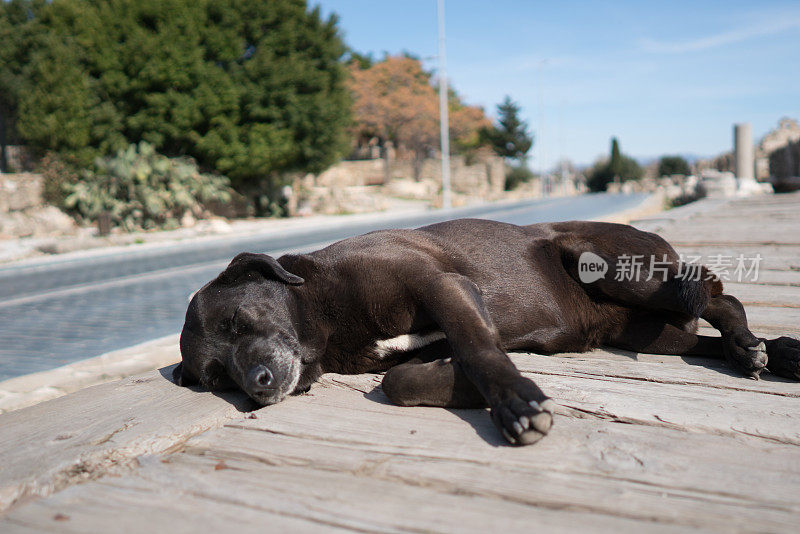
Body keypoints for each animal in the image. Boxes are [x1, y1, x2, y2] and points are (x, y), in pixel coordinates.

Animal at [172, 220, 796, 446]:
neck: (324, 310)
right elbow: (402, 380)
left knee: (718, 291)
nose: (256, 385)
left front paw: (516, 402)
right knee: (703, 326)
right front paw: (465, 384)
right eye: (217, 377)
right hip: (647, 333)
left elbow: (478, 351)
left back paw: (757, 347)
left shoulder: (443, 287)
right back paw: (767, 352)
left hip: (615, 269)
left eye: (236, 321)